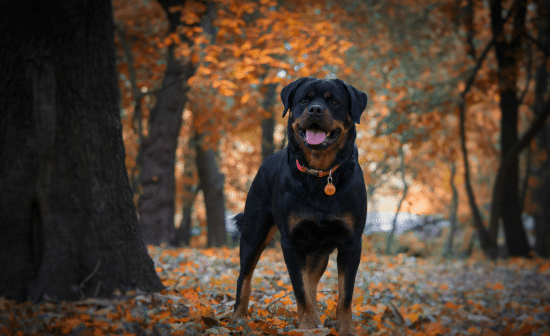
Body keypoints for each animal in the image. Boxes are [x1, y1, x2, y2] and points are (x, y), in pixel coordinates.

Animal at [233, 77, 370, 334]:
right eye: (304, 100)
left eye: (334, 102)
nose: (315, 109)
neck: (320, 175)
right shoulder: (291, 242)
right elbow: (300, 290)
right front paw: (306, 327)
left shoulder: (351, 242)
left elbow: (344, 294)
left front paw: (345, 329)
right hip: (254, 232)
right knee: (244, 275)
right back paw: (237, 317)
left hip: (319, 250)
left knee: (312, 282)